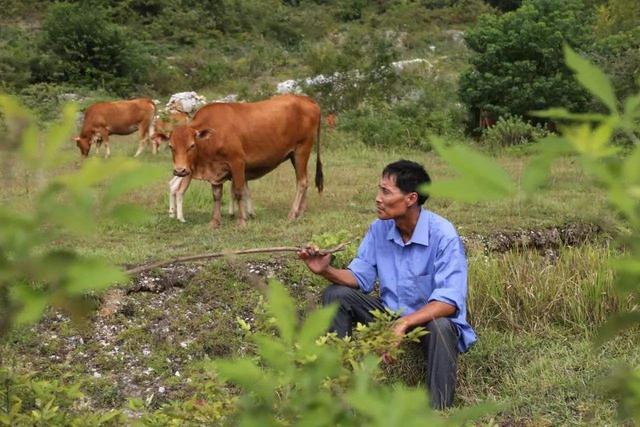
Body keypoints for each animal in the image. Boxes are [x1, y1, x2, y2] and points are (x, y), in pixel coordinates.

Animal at [168, 93, 322, 227]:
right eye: (171, 146)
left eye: (192, 145)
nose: (180, 171)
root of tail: (306, 99)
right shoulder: (216, 170)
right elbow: (217, 195)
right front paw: (215, 222)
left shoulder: (237, 163)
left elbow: (238, 191)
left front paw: (241, 221)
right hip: (294, 155)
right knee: (305, 181)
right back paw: (300, 213)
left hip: (302, 150)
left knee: (302, 182)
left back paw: (293, 213)